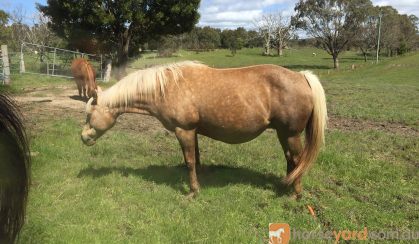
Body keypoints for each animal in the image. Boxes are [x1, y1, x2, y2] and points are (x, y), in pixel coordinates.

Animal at [80, 61, 326, 198]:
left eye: (89, 114)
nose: (83, 137)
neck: (165, 87)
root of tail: (301, 76)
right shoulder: (193, 132)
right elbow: (196, 159)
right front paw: (199, 184)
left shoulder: (184, 130)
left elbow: (189, 161)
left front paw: (192, 192)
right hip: (283, 133)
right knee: (291, 160)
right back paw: (286, 186)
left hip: (291, 134)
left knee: (296, 160)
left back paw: (295, 194)